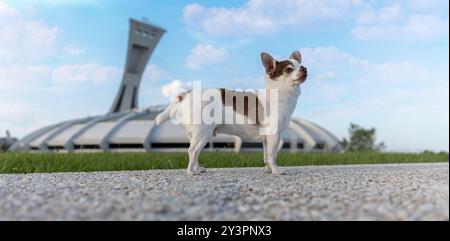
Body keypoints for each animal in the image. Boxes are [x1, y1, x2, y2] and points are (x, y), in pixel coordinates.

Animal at [156, 50, 308, 175]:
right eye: (289, 69)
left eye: (301, 65)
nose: (304, 68)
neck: (280, 94)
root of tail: (186, 95)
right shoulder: (274, 135)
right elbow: (273, 155)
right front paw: (276, 171)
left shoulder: (267, 139)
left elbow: (266, 155)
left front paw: (269, 170)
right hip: (203, 133)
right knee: (192, 151)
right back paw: (191, 172)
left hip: (197, 135)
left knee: (195, 153)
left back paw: (198, 169)